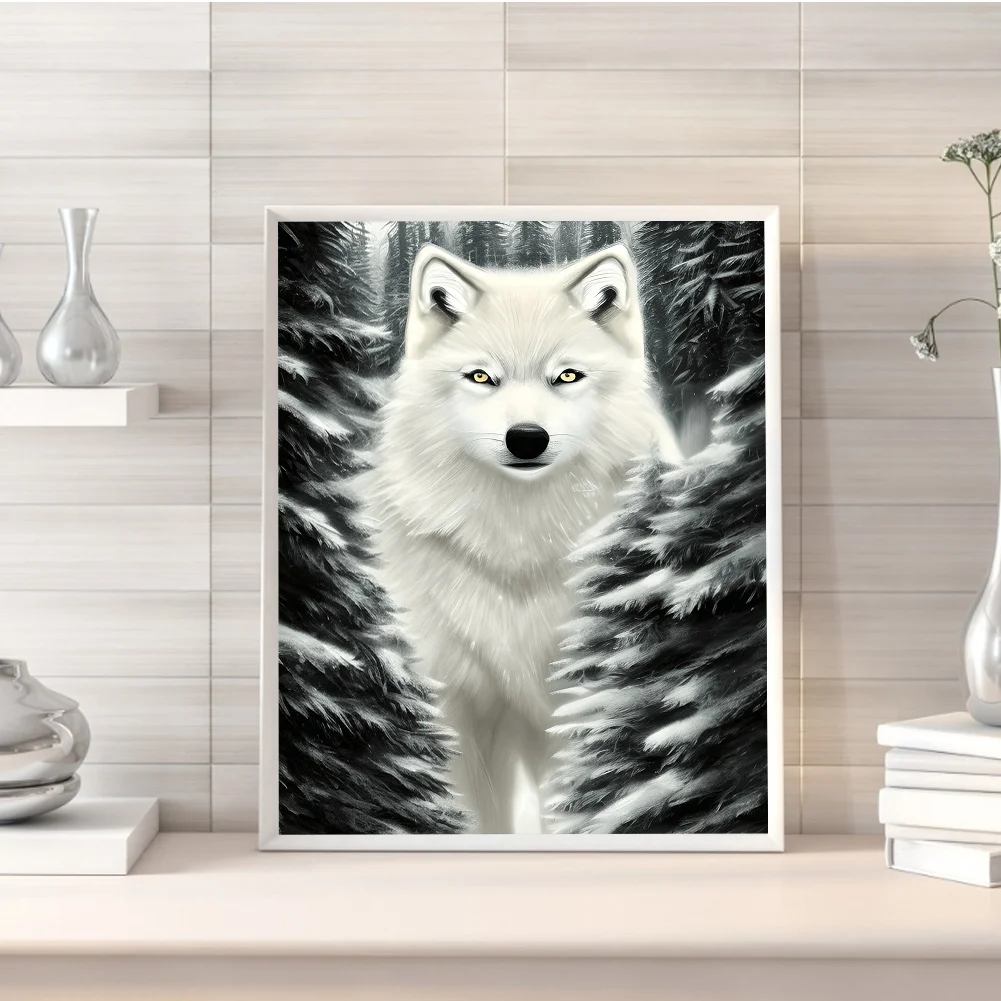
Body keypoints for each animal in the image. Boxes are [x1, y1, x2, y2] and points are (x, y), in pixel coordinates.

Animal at [368, 240, 682, 834]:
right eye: (481, 377)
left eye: (567, 377)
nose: (527, 438)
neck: (519, 541)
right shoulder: (459, 703)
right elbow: (472, 811)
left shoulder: (578, 701)